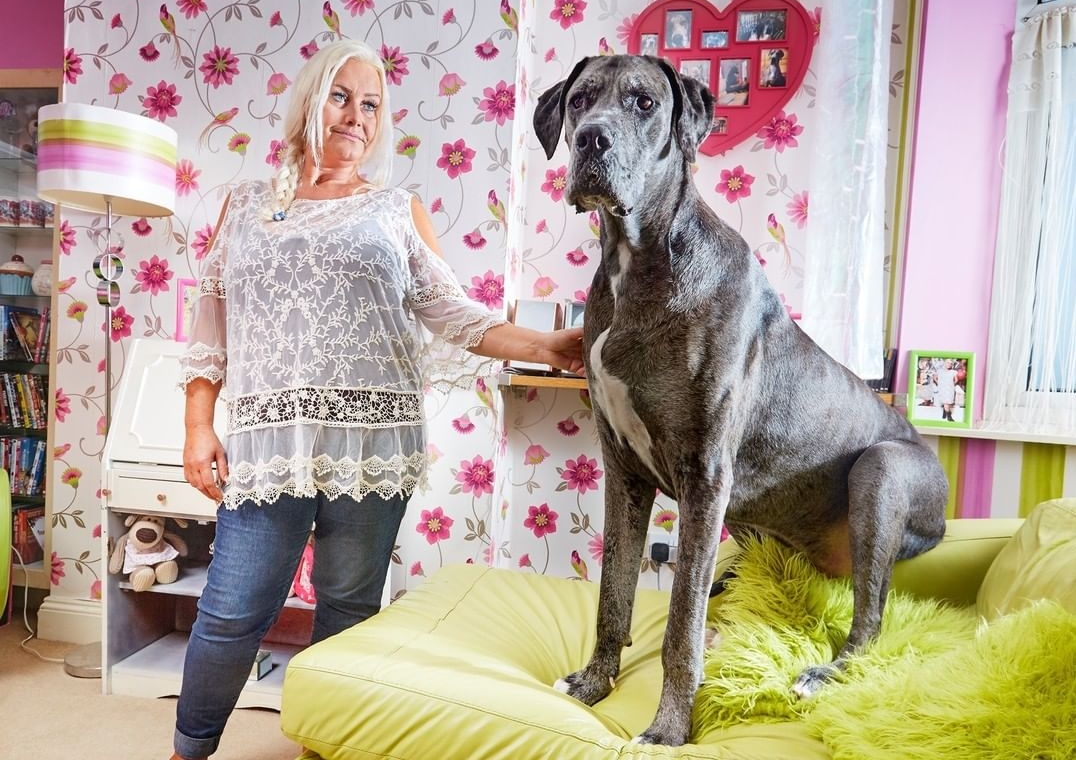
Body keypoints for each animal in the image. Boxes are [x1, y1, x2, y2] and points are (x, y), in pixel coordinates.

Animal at [533, 55, 948, 747]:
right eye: (580, 100)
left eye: (643, 102)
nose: (592, 139)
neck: (638, 259)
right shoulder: (623, 471)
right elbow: (614, 591)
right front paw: (593, 684)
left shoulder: (704, 474)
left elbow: (680, 625)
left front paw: (669, 728)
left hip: (884, 472)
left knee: (869, 622)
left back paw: (821, 674)